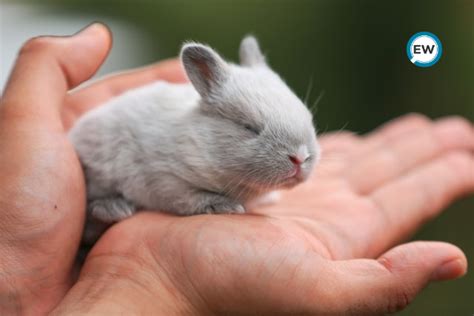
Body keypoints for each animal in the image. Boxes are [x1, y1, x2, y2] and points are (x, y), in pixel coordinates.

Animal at [70, 35, 320, 241]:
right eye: (249, 127)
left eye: (308, 116)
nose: (300, 158)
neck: (202, 143)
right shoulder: (164, 179)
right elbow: (189, 198)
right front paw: (224, 206)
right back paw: (114, 209)